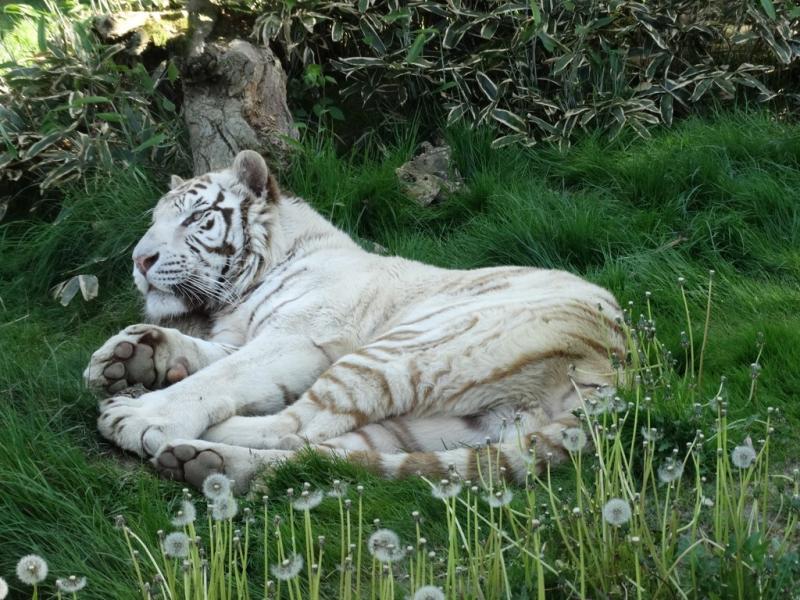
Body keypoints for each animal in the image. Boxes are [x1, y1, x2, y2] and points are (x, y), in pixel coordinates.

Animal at [86, 150, 625, 493]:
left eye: (197, 218)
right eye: (153, 221)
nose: (139, 260)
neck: (238, 293)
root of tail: (618, 371)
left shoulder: (296, 336)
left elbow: (218, 379)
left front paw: (144, 414)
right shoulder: (244, 335)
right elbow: (203, 354)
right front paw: (129, 354)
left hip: (405, 348)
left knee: (296, 426)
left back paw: (166, 434)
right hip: (440, 427)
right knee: (328, 455)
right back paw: (205, 465)